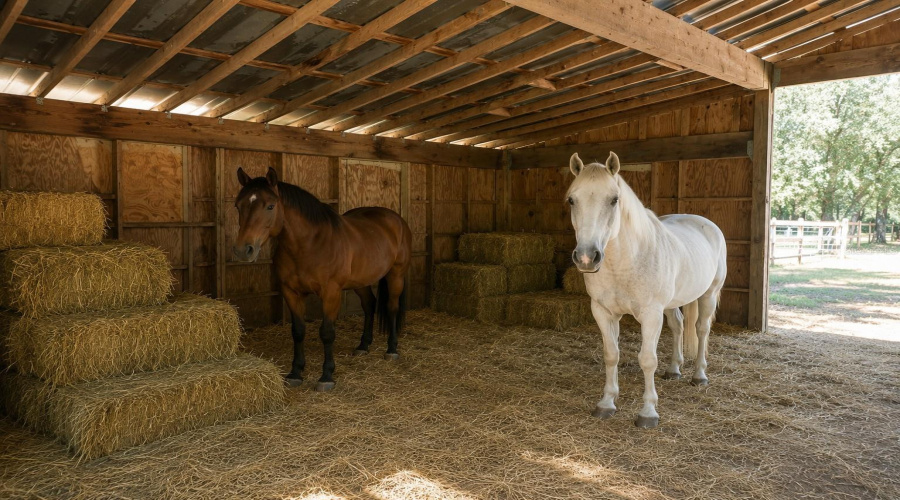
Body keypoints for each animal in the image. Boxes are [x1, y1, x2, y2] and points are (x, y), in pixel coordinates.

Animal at [232, 167, 412, 392]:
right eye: (238, 206)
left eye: (270, 206)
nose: (243, 250)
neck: (309, 245)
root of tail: (396, 220)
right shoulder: (291, 292)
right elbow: (298, 331)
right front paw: (296, 372)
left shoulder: (331, 293)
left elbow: (327, 332)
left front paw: (326, 376)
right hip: (360, 281)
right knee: (369, 305)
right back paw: (363, 345)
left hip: (396, 275)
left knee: (391, 308)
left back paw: (392, 349)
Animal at [566, 152, 727, 428]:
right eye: (572, 199)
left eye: (614, 199)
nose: (587, 257)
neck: (625, 262)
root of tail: (707, 224)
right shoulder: (603, 312)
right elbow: (611, 354)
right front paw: (606, 403)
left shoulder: (651, 315)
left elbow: (647, 359)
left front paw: (648, 412)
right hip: (672, 305)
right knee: (678, 326)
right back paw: (674, 370)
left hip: (708, 295)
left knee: (701, 330)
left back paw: (699, 376)